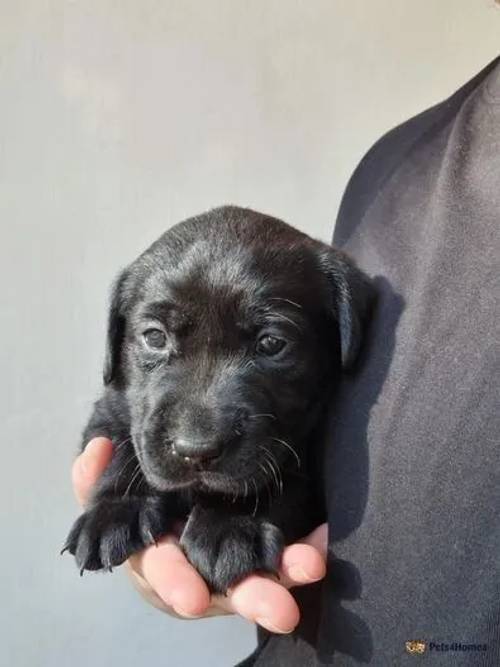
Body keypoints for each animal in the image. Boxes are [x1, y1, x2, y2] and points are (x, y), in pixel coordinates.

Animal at [62, 206, 374, 592]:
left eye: (272, 343)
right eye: (154, 337)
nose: (196, 450)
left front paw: (231, 526)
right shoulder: (112, 407)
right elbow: (123, 442)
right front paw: (115, 510)